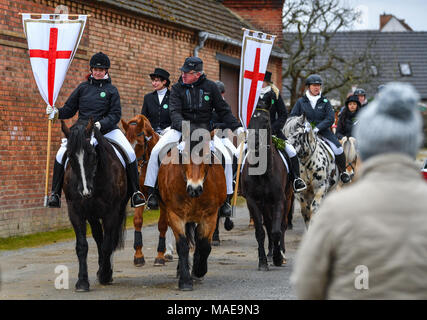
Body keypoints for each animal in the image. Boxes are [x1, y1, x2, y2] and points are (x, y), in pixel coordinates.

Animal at [61, 119, 130, 292]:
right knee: (98, 236)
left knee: (108, 239)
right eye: (70, 156)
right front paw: (82, 281)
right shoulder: (76, 212)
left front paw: (106, 274)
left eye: (91, 154)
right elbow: (82, 246)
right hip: (92, 214)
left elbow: (107, 244)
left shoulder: (111, 213)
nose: (85, 191)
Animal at [159, 126, 227, 292]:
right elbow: (183, 245)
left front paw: (198, 270)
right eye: (184, 155)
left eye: (207, 155)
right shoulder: (175, 215)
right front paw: (185, 281)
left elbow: (204, 245)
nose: (194, 189)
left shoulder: (210, 216)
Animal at [241, 93, 294, 270]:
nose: (255, 144)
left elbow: (277, 230)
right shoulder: (252, 201)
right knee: (269, 224)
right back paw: (270, 253)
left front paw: (278, 257)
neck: (263, 172)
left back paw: (281, 253)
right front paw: (263, 261)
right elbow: (261, 231)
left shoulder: (279, 199)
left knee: (281, 225)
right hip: (264, 204)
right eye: (249, 121)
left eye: (266, 120)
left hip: (288, 197)